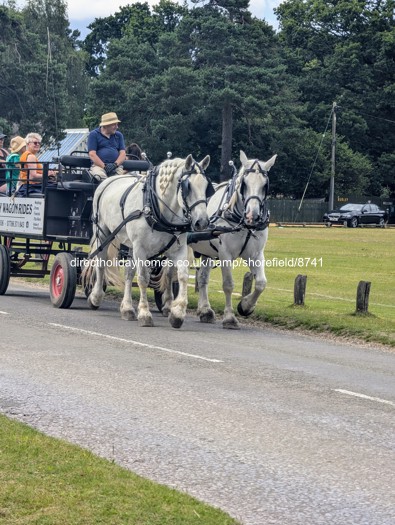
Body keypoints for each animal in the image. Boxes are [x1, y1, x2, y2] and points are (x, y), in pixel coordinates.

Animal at [83, 154, 213, 328]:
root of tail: (107, 181)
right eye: (188, 186)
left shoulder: (177, 249)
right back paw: (96, 297)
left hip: (130, 245)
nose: (202, 222)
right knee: (101, 263)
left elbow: (182, 276)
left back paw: (127, 308)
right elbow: (143, 278)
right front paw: (145, 313)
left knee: (129, 273)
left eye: (206, 187)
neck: (156, 207)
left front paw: (177, 313)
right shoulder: (141, 248)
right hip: (103, 234)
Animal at [189, 150, 276, 328]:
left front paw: (246, 306)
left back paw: (205, 310)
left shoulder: (256, 254)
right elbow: (228, 285)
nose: (252, 215)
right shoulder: (225, 254)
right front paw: (229, 317)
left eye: (265, 185)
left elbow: (261, 283)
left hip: (207, 252)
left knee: (202, 278)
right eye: (244, 183)